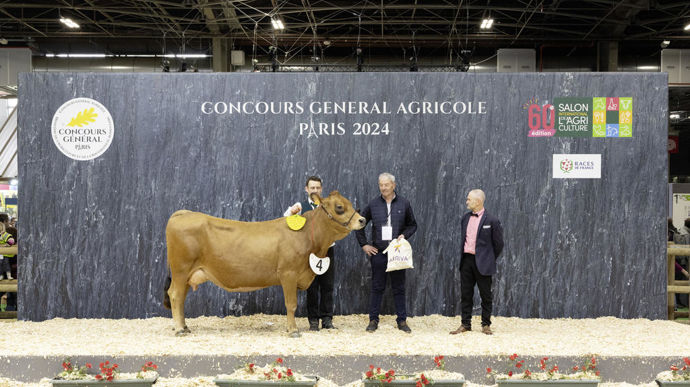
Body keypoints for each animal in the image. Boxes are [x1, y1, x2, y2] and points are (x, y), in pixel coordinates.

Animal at [163, 192, 362, 338]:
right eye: (339, 207)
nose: (362, 220)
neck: (307, 236)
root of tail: (185, 214)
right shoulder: (288, 273)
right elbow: (291, 304)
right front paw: (293, 331)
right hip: (181, 270)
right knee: (175, 295)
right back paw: (179, 329)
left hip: (187, 275)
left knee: (181, 298)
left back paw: (185, 327)